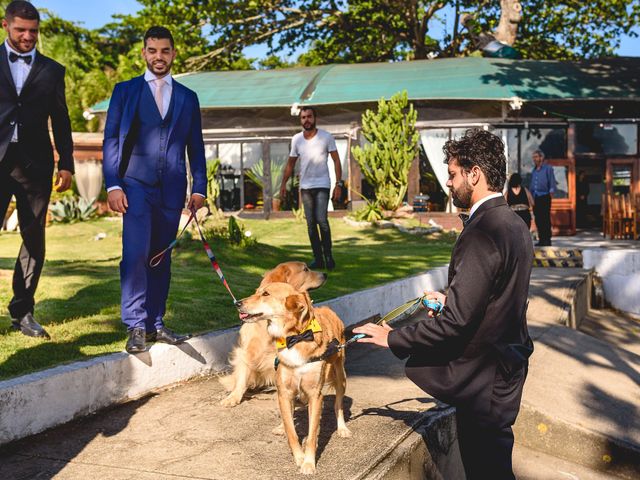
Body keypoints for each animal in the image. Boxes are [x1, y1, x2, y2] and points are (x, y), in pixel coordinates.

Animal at [235, 284, 350, 474]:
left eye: (265, 294)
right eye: (257, 291)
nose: (237, 303)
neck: (295, 338)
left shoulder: (315, 395)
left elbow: (312, 434)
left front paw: (309, 463)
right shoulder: (284, 392)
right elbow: (291, 431)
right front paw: (299, 457)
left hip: (341, 377)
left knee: (338, 405)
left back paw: (342, 428)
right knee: (288, 413)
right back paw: (281, 426)